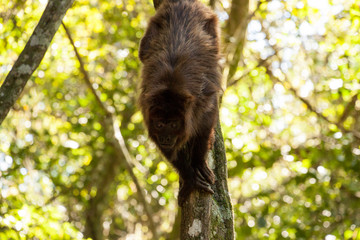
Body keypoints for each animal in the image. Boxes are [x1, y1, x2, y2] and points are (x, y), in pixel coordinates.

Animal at [139, 0, 221, 206]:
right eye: (160, 124)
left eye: (174, 124)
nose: (167, 137)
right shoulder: (147, 109)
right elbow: (168, 151)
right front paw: (190, 178)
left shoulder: (202, 102)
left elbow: (205, 126)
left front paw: (198, 163)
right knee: (143, 53)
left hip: (211, 25)